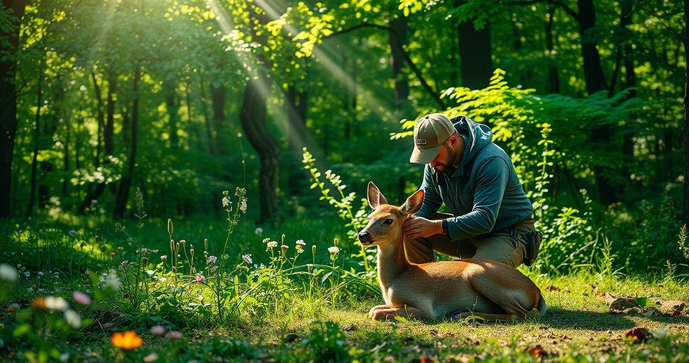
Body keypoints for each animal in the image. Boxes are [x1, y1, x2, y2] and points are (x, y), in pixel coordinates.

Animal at [358, 183, 544, 322]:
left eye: (388, 220)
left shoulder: (424, 306)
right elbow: (373, 308)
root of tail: (536, 294)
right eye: (369, 217)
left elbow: (375, 312)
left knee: (524, 314)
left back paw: (463, 315)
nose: (363, 235)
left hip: (480, 274)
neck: (396, 277)